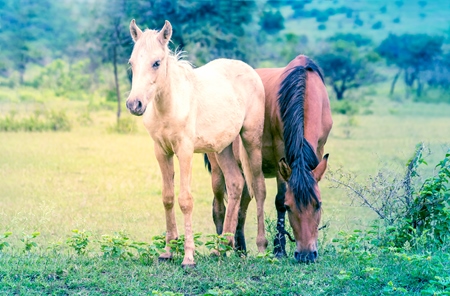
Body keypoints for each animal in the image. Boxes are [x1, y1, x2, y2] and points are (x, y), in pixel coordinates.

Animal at [125, 19, 268, 268]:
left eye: (156, 63)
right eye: (132, 63)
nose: (135, 104)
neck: (170, 105)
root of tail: (250, 71)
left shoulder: (185, 151)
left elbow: (185, 200)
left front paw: (188, 257)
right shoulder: (161, 151)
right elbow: (168, 198)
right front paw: (167, 251)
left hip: (251, 140)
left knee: (258, 188)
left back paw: (261, 248)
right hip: (222, 148)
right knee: (236, 184)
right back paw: (221, 247)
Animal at [206, 54, 332, 262]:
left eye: (318, 204)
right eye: (289, 207)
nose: (306, 255)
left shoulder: (319, 149)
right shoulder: (281, 149)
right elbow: (279, 199)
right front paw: (279, 249)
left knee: (241, 206)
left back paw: (241, 250)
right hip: (217, 169)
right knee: (218, 206)